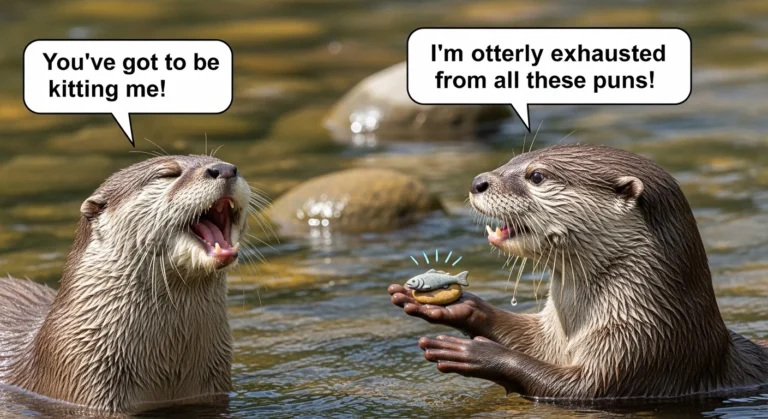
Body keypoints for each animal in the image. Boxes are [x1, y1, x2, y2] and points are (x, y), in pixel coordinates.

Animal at [390, 144, 768, 400]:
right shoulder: (556, 336)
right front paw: (462, 306)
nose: (477, 181)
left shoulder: (641, 350)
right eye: (511, 160)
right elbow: (530, 341)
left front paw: (478, 354)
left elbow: (578, 387)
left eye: (536, 175)